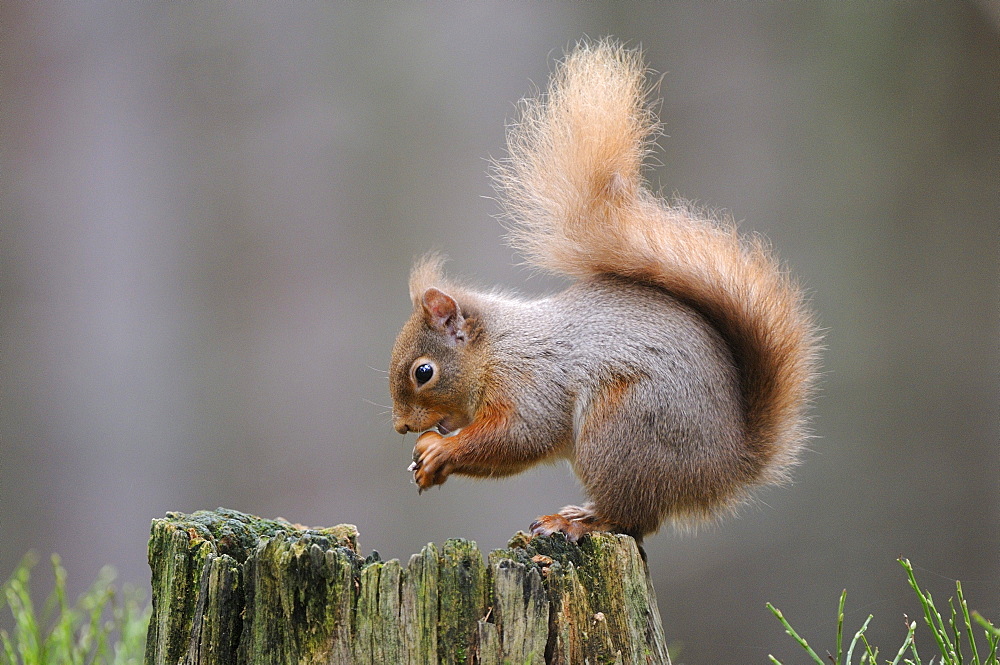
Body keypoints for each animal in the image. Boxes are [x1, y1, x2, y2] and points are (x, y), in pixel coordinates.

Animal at [386, 40, 816, 540]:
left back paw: (576, 523)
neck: (495, 351)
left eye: (424, 372)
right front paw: (426, 460)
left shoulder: (531, 382)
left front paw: (441, 451)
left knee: (632, 518)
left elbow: (520, 437)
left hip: (620, 429)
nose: (401, 428)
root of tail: (726, 467)